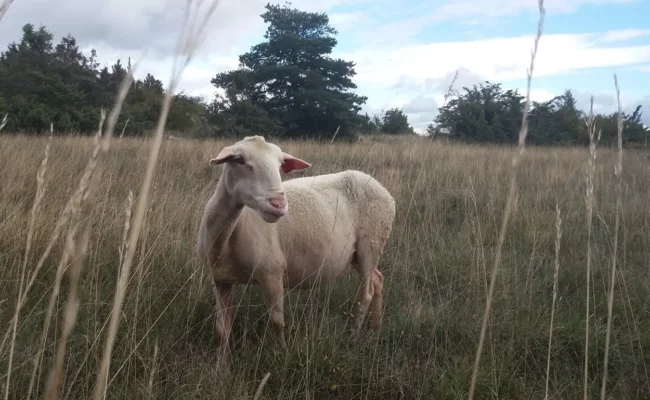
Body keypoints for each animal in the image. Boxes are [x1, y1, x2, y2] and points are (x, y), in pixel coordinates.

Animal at [195, 135, 392, 360]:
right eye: (239, 160)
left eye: (280, 164)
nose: (279, 203)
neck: (226, 238)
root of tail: (380, 187)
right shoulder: (220, 280)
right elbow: (222, 331)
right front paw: (221, 365)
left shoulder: (272, 272)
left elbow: (277, 323)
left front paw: (281, 354)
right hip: (356, 253)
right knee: (378, 280)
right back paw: (375, 331)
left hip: (372, 242)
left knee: (366, 293)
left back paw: (354, 336)